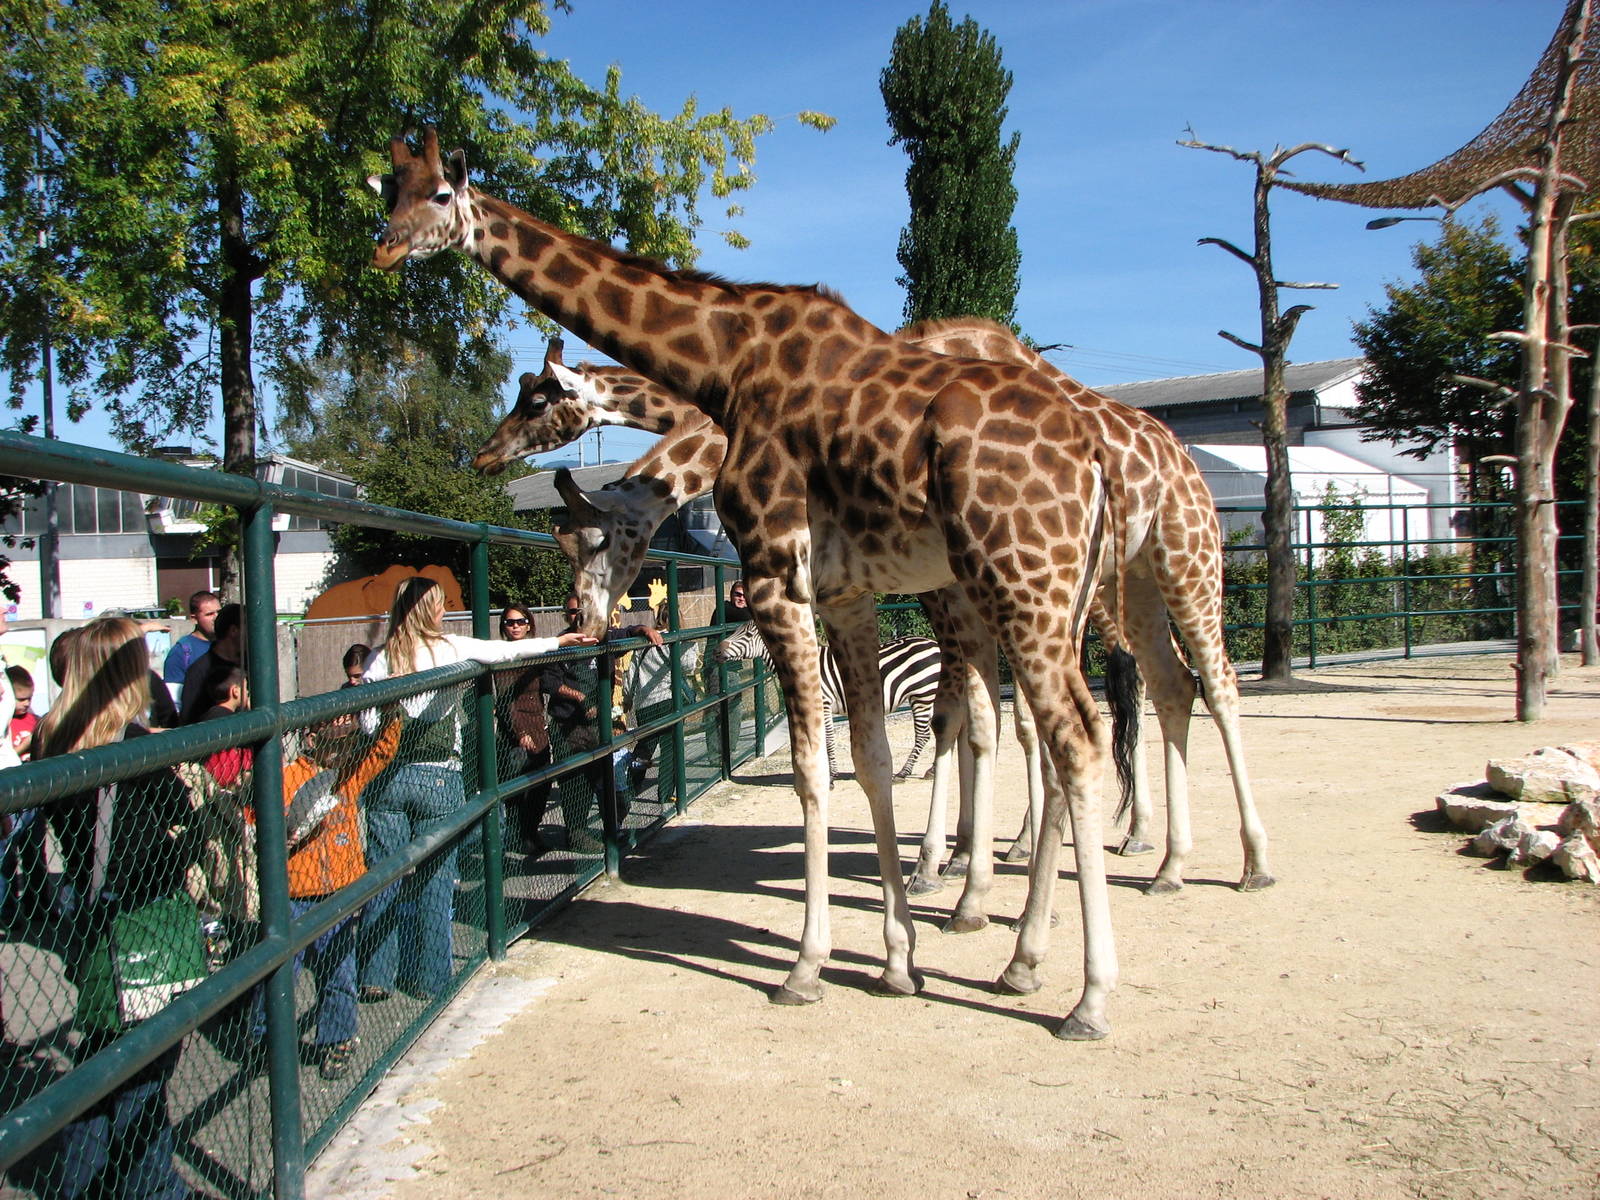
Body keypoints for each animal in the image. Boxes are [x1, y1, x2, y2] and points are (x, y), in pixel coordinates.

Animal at [372, 129, 1123, 1037]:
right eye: (389, 190)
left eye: (442, 194)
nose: (385, 247)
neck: (721, 370)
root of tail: (1094, 454)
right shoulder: (845, 592)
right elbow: (866, 758)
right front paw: (896, 961)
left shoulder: (773, 577)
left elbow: (809, 766)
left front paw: (806, 966)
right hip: (1040, 594)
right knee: (1051, 730)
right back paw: (1020, 947)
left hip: (1016, 582)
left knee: (1071, 737)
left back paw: (1084, 991)